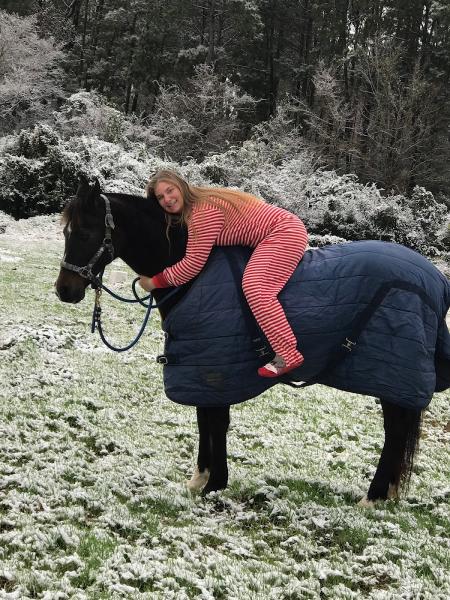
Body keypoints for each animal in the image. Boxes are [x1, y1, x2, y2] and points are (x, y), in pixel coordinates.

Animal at [54, 180, 448, 504]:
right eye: (66, 232)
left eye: (86, 232)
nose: (64, 291)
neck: (195, 276)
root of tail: (435, 281)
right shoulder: (203, 370)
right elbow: (205, 419)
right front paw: (201, 479)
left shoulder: (214, 369)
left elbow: (216, 422)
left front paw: (215, 484)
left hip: (393, 378)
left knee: (394, 432)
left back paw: (374, 496)